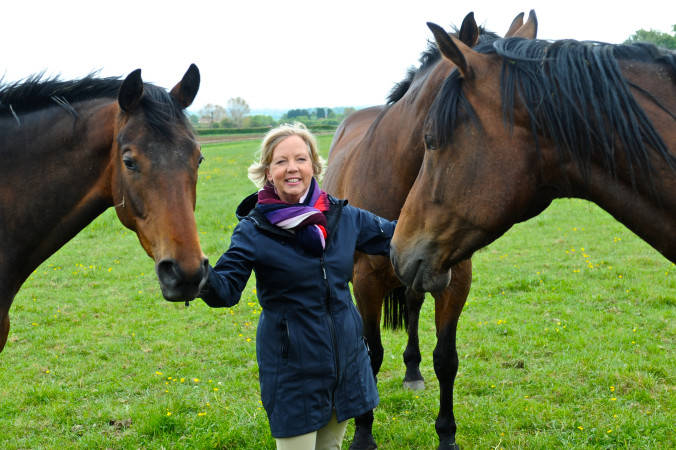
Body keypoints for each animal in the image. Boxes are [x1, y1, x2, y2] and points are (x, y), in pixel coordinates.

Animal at [322, 11, 540, 450]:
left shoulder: (453, 280)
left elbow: (447, 358)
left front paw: (447, 435)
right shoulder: (366, 281)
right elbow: (371, 353)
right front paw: (363, 433)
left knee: (411, 306)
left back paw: (412, 372)